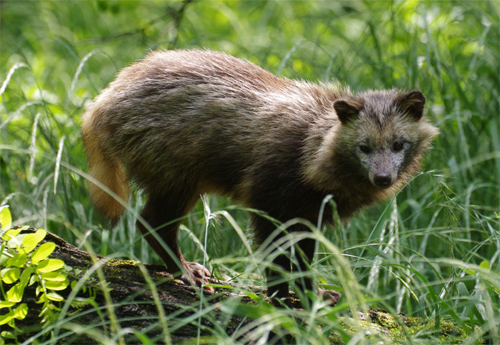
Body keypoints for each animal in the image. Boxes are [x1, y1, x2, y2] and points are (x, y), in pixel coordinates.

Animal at [81, 48, 438, 300]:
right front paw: (282, 305)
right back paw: (185, 271)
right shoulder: (268, 206)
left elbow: (303, 265)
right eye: (364, 147)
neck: (310, 148)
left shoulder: (308, 217)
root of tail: (102, 100)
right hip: (178, 182)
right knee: (150, 223)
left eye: (398, 144)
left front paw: (314, 298)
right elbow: (278, 266)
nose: (383, 178)